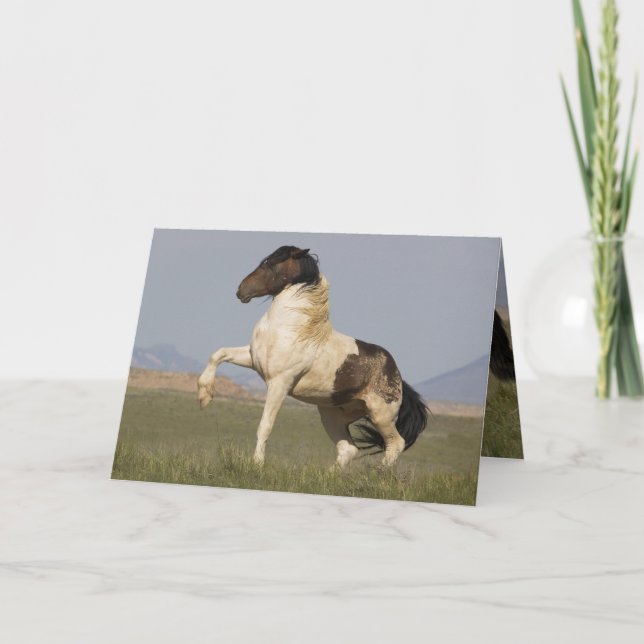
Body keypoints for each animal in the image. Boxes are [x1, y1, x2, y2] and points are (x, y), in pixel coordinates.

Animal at [197, 245, 429, 468]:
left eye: (271, 263)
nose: (240, 290)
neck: (291, 328)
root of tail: (397, 374)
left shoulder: (279, 383)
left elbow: (265, 426)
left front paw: (257, 464)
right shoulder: (253, 360)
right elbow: (219, 354)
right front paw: (204, 397)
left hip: (381, 415)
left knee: (395, 444)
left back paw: (378, 472)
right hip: (332, 415)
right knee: (348, 449)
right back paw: (328, 475)